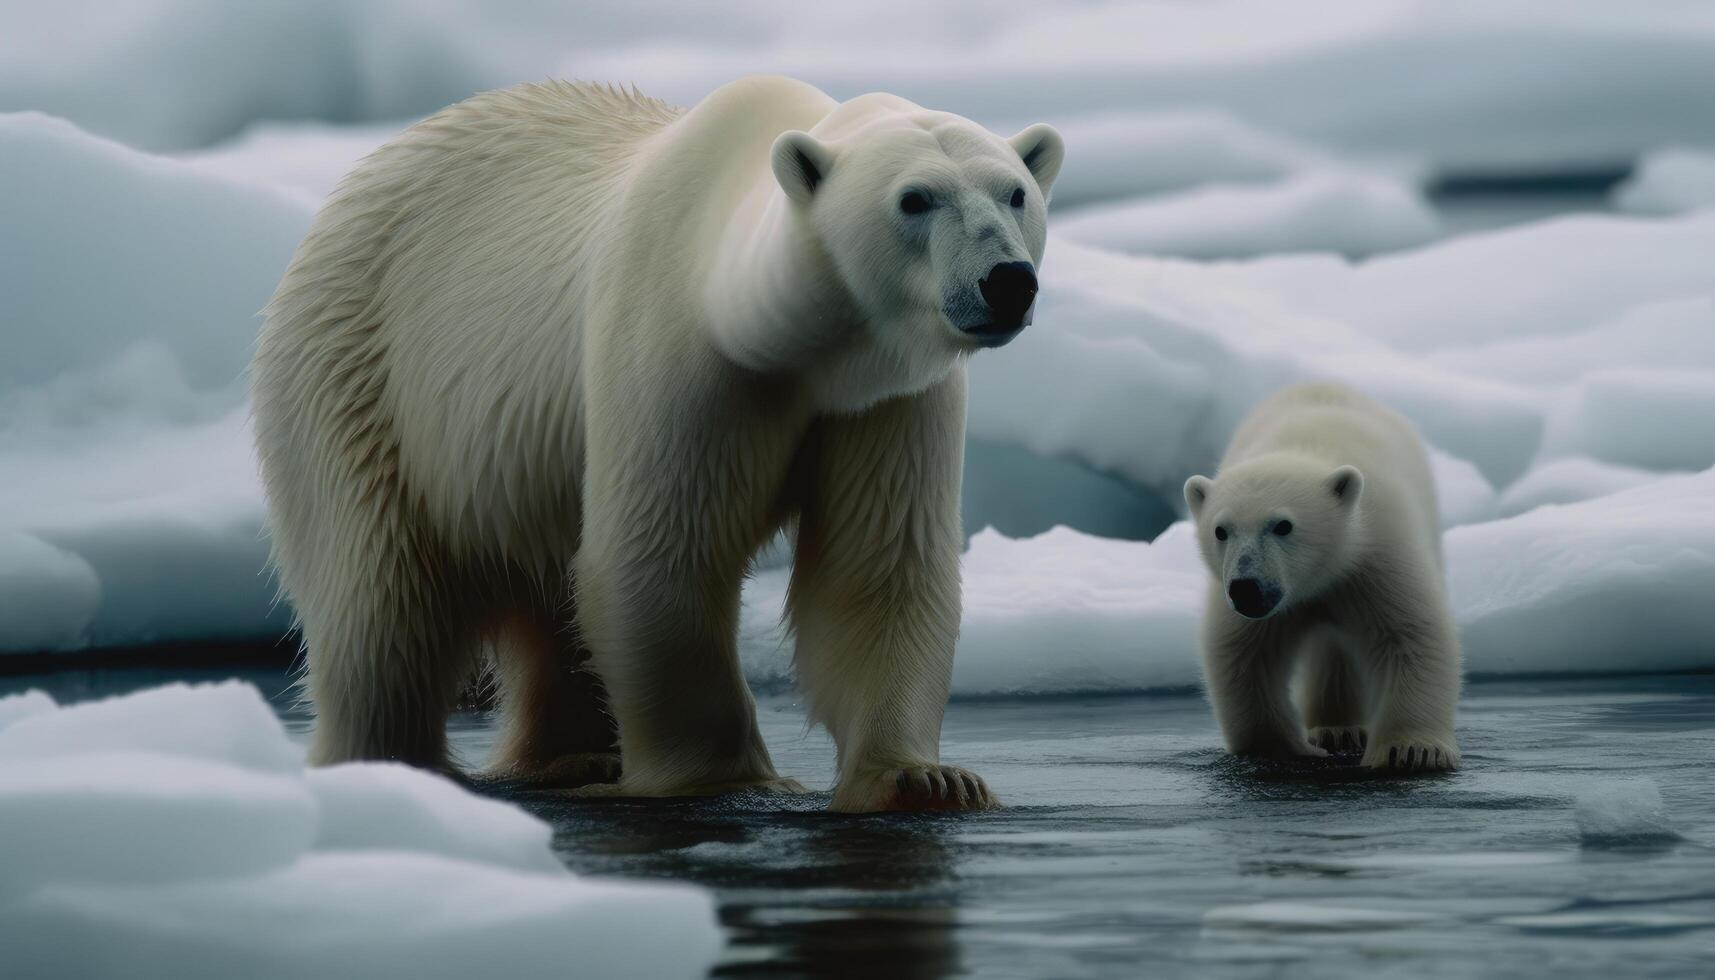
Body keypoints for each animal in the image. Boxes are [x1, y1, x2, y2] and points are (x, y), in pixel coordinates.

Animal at [250, 74, 1056, 813]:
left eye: (1014, 192)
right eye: (914, 199)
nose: (1007, 281)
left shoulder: (886, 399)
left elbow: (878, 569)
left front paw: (922, 778)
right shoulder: (680, 348)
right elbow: (661, 555)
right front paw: (730, 779)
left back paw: (569, 758)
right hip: (361, 377)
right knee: (379, 600)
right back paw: (393, 767)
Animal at [1193, 382, 1461, 775]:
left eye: (1283, 525)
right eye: (1221, 530)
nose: (1246, 588)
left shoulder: (1376, 555)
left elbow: (1412, 633)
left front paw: (1412, 749)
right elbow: (1244, 652)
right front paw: (1277, 747)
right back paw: (1335, 728)